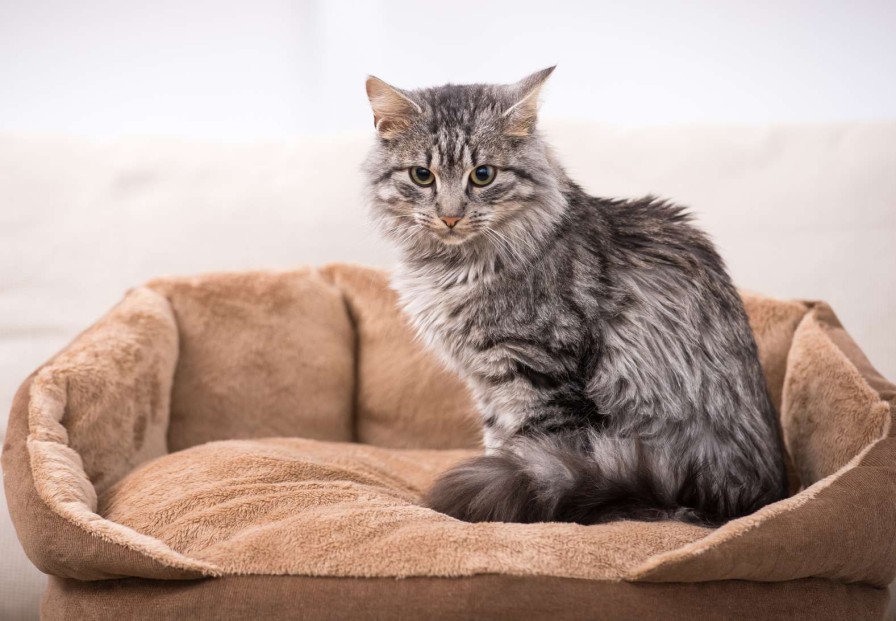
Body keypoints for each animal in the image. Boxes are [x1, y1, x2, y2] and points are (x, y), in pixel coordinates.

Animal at [362, 66, 784, 524]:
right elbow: (499, 442)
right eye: (422, 176)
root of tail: (756, 497)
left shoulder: (540, 371)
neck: (453, 269)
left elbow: (532, 452)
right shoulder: (488, 382)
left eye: (483, 175)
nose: (451, 216)